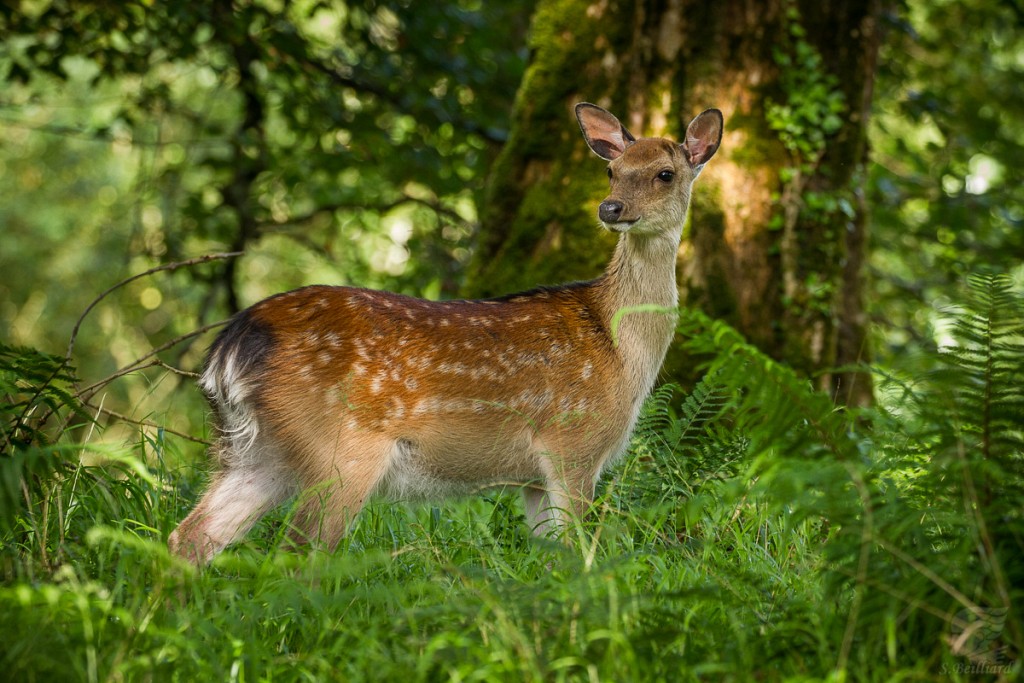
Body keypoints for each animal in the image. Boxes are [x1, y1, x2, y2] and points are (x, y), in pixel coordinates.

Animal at [167, 100, 724, 561]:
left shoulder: (535, 476)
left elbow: (550, 558)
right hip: (339, 451)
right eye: (612, 171)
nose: (611, 208)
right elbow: (578, 552)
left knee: (191, 536)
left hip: (255, 451)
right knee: (298, 550)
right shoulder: (574, 442)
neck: (621, 350)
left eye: (665, 173)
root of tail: (229, 348)